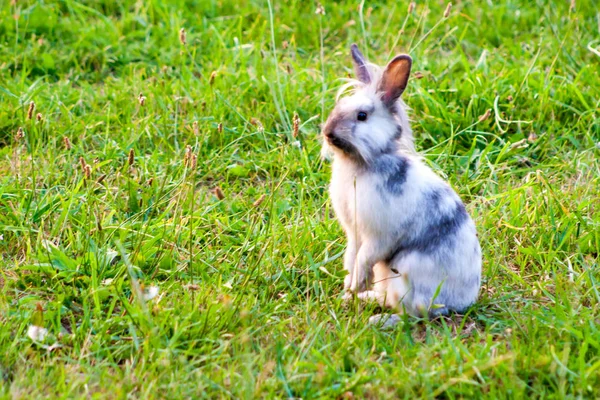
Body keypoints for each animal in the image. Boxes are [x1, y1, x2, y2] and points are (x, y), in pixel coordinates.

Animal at [322, 44, 480, 324]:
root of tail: (463, 301)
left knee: (414, 315)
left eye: (362, 116)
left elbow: (364, 257)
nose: (328, 133)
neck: (361, 164)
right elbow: (351, 256)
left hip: (405, 274)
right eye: (338, 106)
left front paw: (356, 285)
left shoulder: (379, 236)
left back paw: (379, 320)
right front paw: (349, 288)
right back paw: (363, 300)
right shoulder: (353, 231)